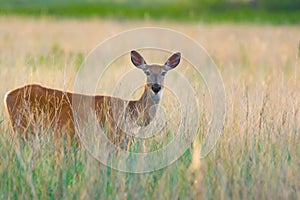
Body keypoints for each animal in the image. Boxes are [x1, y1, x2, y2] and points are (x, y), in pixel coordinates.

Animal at [4, 50, 182, 149]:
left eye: (164, 72)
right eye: (147, 72)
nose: (156, 87)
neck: (131, 112)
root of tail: (7, 95)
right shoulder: (112, 137)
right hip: (23, 128)